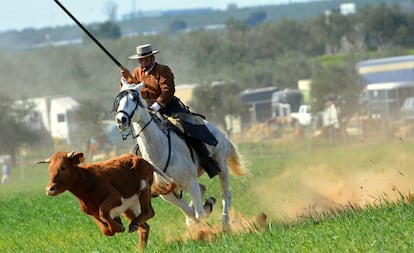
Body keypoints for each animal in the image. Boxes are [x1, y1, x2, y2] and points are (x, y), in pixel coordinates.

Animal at [36, 151, 165, 252]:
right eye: (49, 169)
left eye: (63, 167)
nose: (49, 189)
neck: (87, 182)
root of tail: (140, 159)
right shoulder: (91, 211)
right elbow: (105, 230)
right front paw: (118, 225)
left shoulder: (115, 196)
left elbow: (103, 211)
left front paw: (119, 227)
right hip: (129, 207)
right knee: (144, 227)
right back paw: (140, 245)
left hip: (144, 188)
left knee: (149, 212)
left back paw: (134, 225)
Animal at [113, 83, 247, 229]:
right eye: (118, 101)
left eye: (134, 99)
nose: (121, 120)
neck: (159, 152)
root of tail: (219, 131)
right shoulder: (167, 194)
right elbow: (190, 214)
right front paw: (199, 217)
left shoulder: (190, 182)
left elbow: (199, 214)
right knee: (202, 189)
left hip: (221, 165)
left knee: (225, 194)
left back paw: (226, 223)